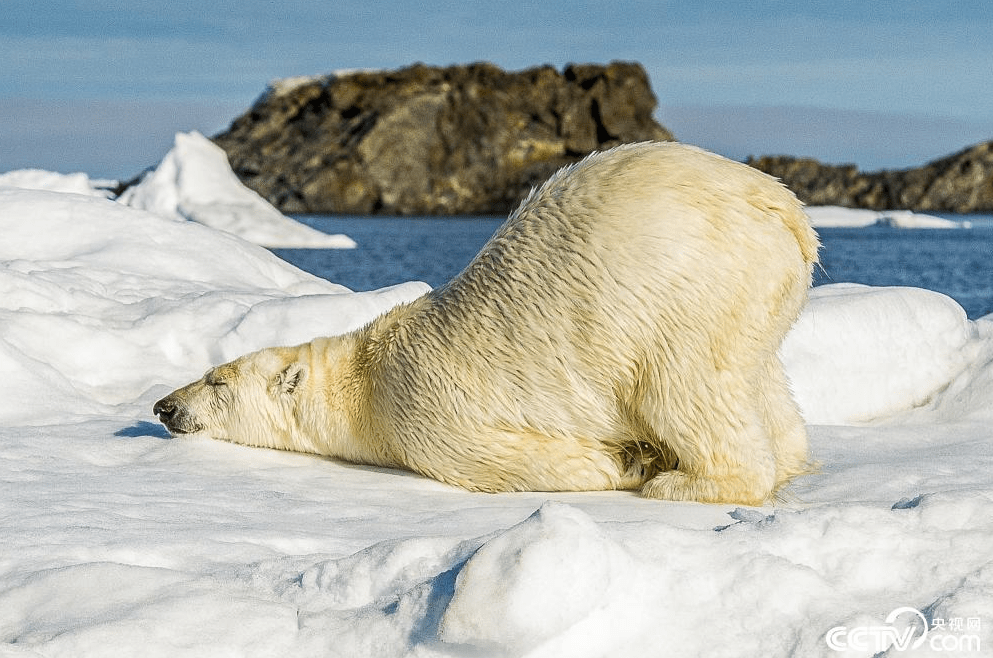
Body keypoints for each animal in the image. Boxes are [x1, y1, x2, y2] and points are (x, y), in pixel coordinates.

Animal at [155, 142, 816, 502]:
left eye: (216, 380)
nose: (163, 405)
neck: (365, 376)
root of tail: (782, 209)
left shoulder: (424, 409)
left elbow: (511, 460)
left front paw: (625, 464)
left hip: (681, 295)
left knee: (683, 390)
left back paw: (684, 482)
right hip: (757, 298)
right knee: (763, 383)